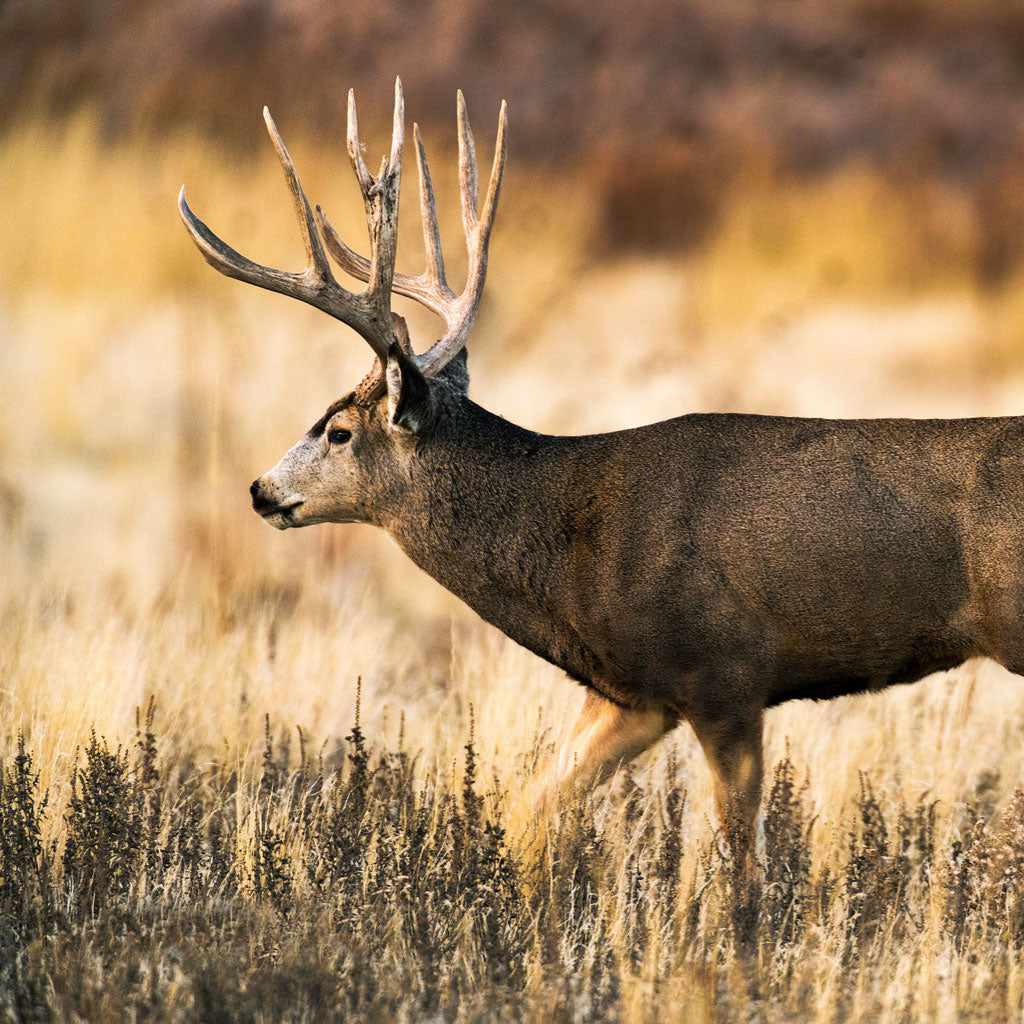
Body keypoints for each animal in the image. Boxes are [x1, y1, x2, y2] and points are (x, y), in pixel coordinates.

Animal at [179, 79, 1024, 860]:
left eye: (340, 431)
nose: (261, 491)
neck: (564, 544)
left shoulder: (724, 673)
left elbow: (738, 863)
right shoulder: (632, 693)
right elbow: (531, 809)